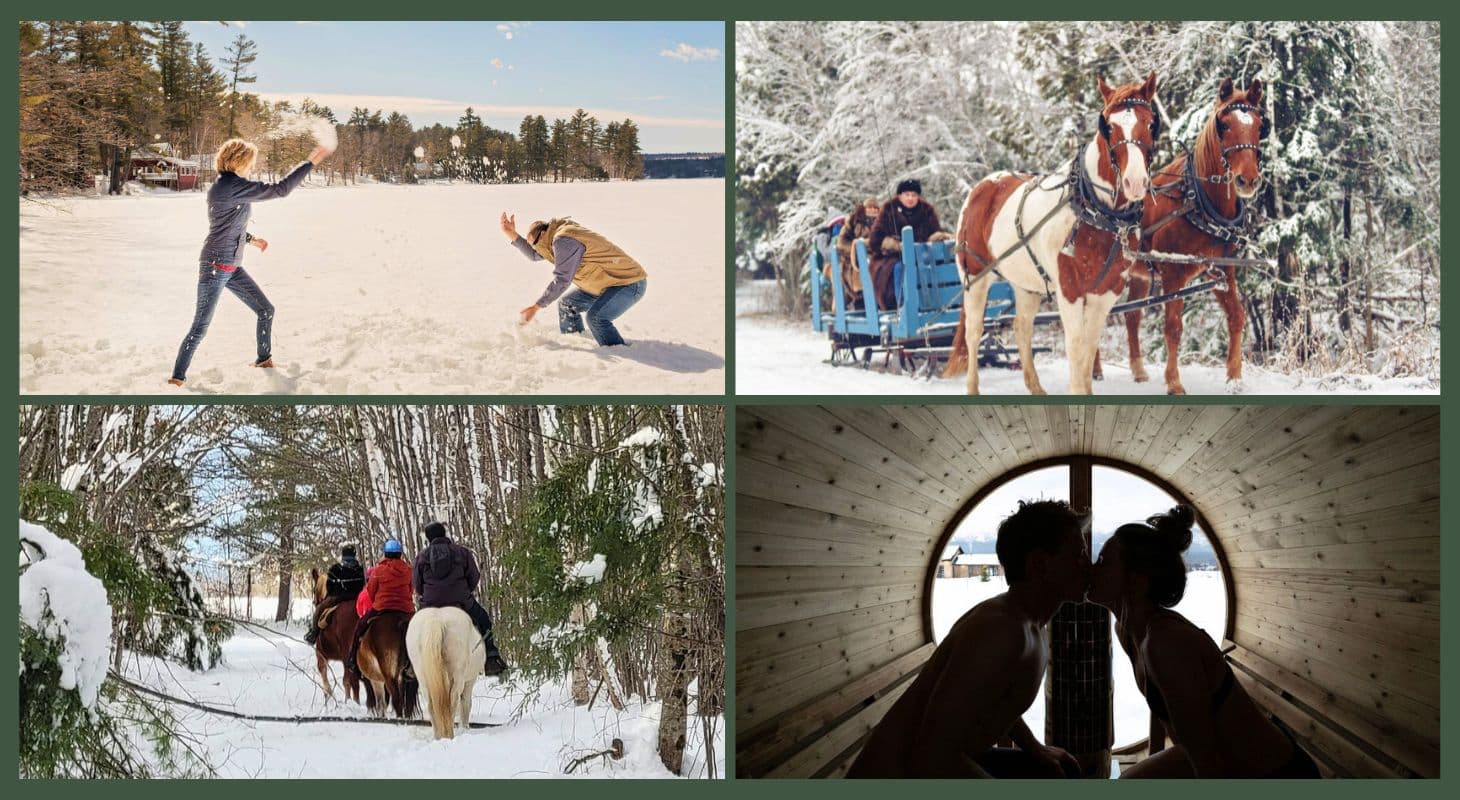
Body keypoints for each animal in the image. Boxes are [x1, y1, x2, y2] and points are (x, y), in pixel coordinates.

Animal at [405, 610, 484, 741]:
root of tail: (436, 620)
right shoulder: (469, 681)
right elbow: (466, 704)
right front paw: (465, 728)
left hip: (423, 679)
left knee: (431, 706)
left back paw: (438, 737)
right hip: (458, 677)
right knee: (453, 702)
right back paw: (449, 735)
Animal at [946, 72, 1162, 394]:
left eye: (1150, 123)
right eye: (1109, 126)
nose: (1134, 182)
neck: (1095, 210)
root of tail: (983, 186)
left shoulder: (1105, 293)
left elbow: (1089, 348)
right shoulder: (1069, 291)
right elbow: (1076, 347)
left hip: (1027, 285)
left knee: (1022, 328)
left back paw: (1035, 388)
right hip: (975, 277)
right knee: (974, 333)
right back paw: (973, 388)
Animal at [1109, 76, 1273, 394]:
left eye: (1261, 125)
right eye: (1224, 124)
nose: (1247, 180)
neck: (1198, 201)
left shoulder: (1221, 270)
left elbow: (1237, 317)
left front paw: (1234, 378)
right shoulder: (1174, 275)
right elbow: (1173, 327)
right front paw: (1174, 382)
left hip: (1137, 275)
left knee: (1131, 315)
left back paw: (1138, 370)